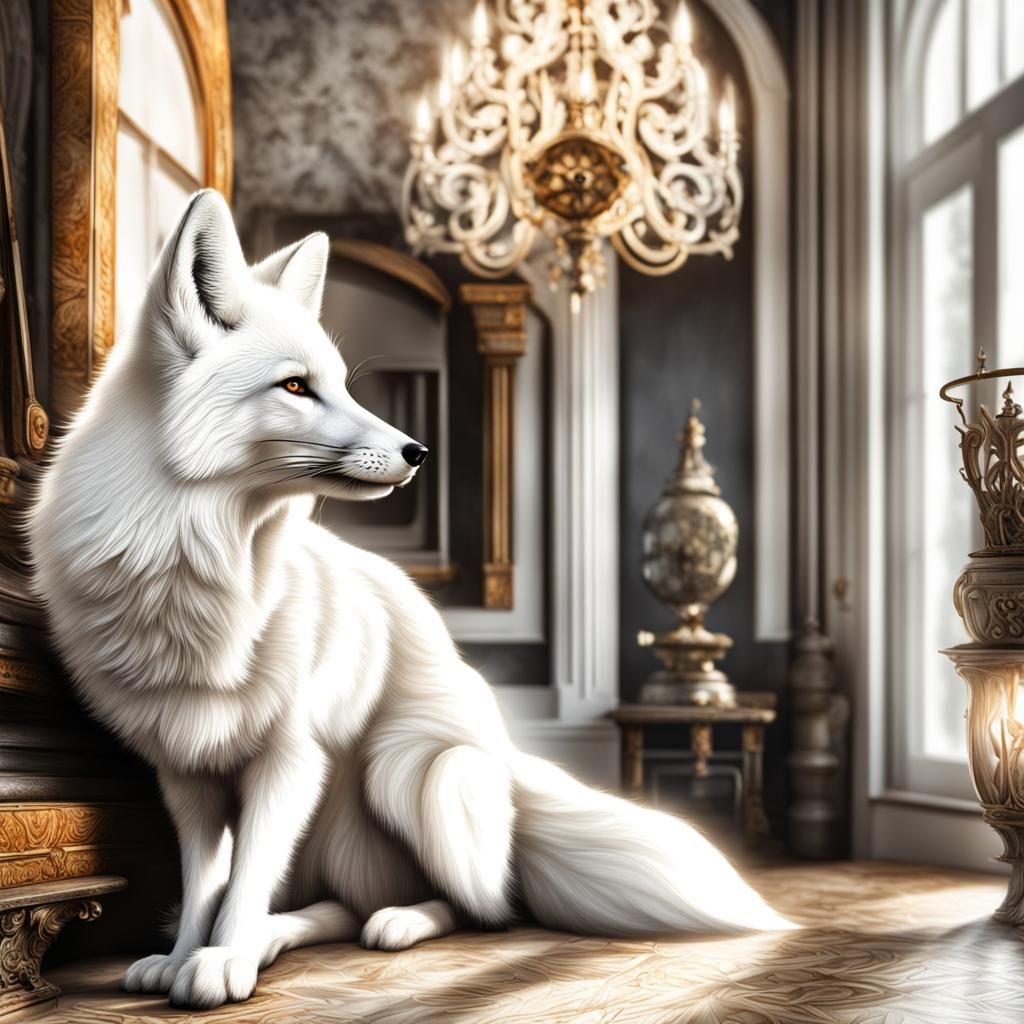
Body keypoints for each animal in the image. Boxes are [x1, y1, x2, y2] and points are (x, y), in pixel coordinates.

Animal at [28, 190, 794, 1011]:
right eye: (296, 386)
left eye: (340, 382)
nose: (418, 452)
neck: (192, 560)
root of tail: (505, 755)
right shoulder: (187, 773)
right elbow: (209, 881)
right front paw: (185, 956)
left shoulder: (290, 757)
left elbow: (245, 878)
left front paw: (221, 961)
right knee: (335, 906)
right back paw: (280, 936)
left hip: (412, 773)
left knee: (481, 908)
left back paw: (390, 924)